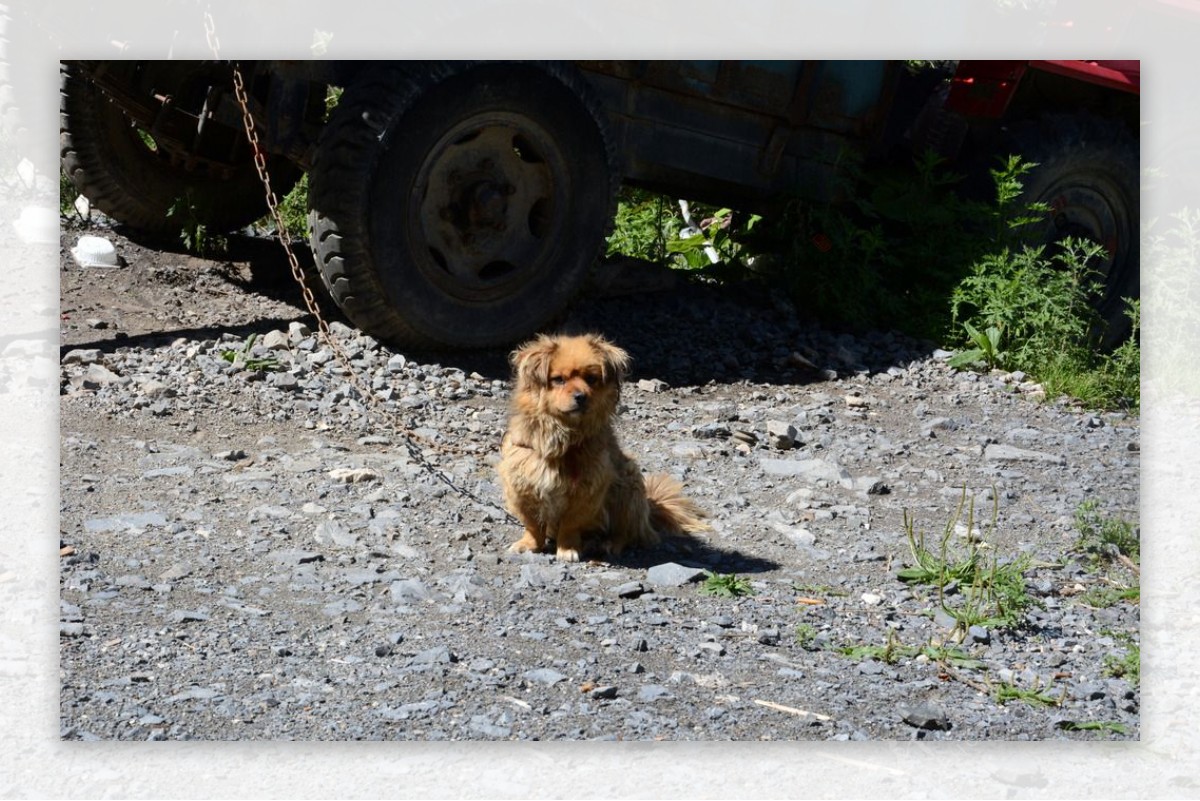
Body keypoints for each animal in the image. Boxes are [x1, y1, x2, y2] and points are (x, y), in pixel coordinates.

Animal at [499, 330, 705, 563]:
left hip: (629, 484)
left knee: (625, 533)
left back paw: (609, 544)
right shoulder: (522, 485)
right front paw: (528, 545)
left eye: (591, 379)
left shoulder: (588, 491)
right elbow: (533, 525)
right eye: (558, 379)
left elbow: (570, 525)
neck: (562, 438)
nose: (581, 396)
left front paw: (567, 549)